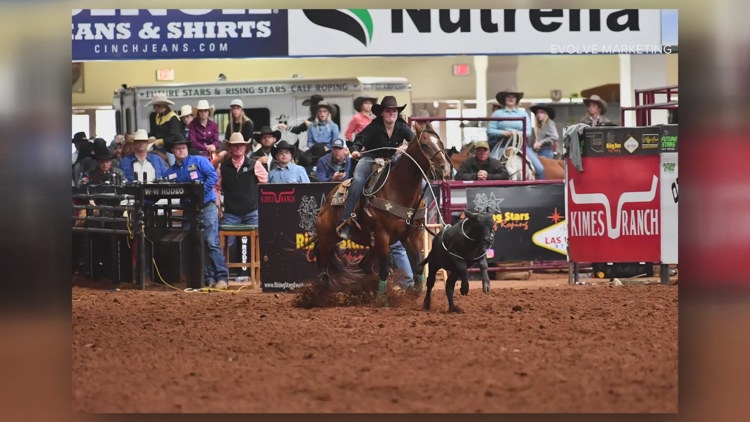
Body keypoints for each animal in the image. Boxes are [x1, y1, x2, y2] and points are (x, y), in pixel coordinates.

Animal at [313, 121, 452, 303]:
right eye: (424, 145)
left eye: (441, 143)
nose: (445, 168)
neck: (399, 190)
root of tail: (327, 202)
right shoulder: (383, 235)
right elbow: (385, 269)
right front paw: (382, 299)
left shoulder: (412, 235)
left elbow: (418, 267)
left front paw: (414, 293)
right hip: (327, 240)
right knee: (324, 272)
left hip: (371, 245)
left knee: (363, 265)